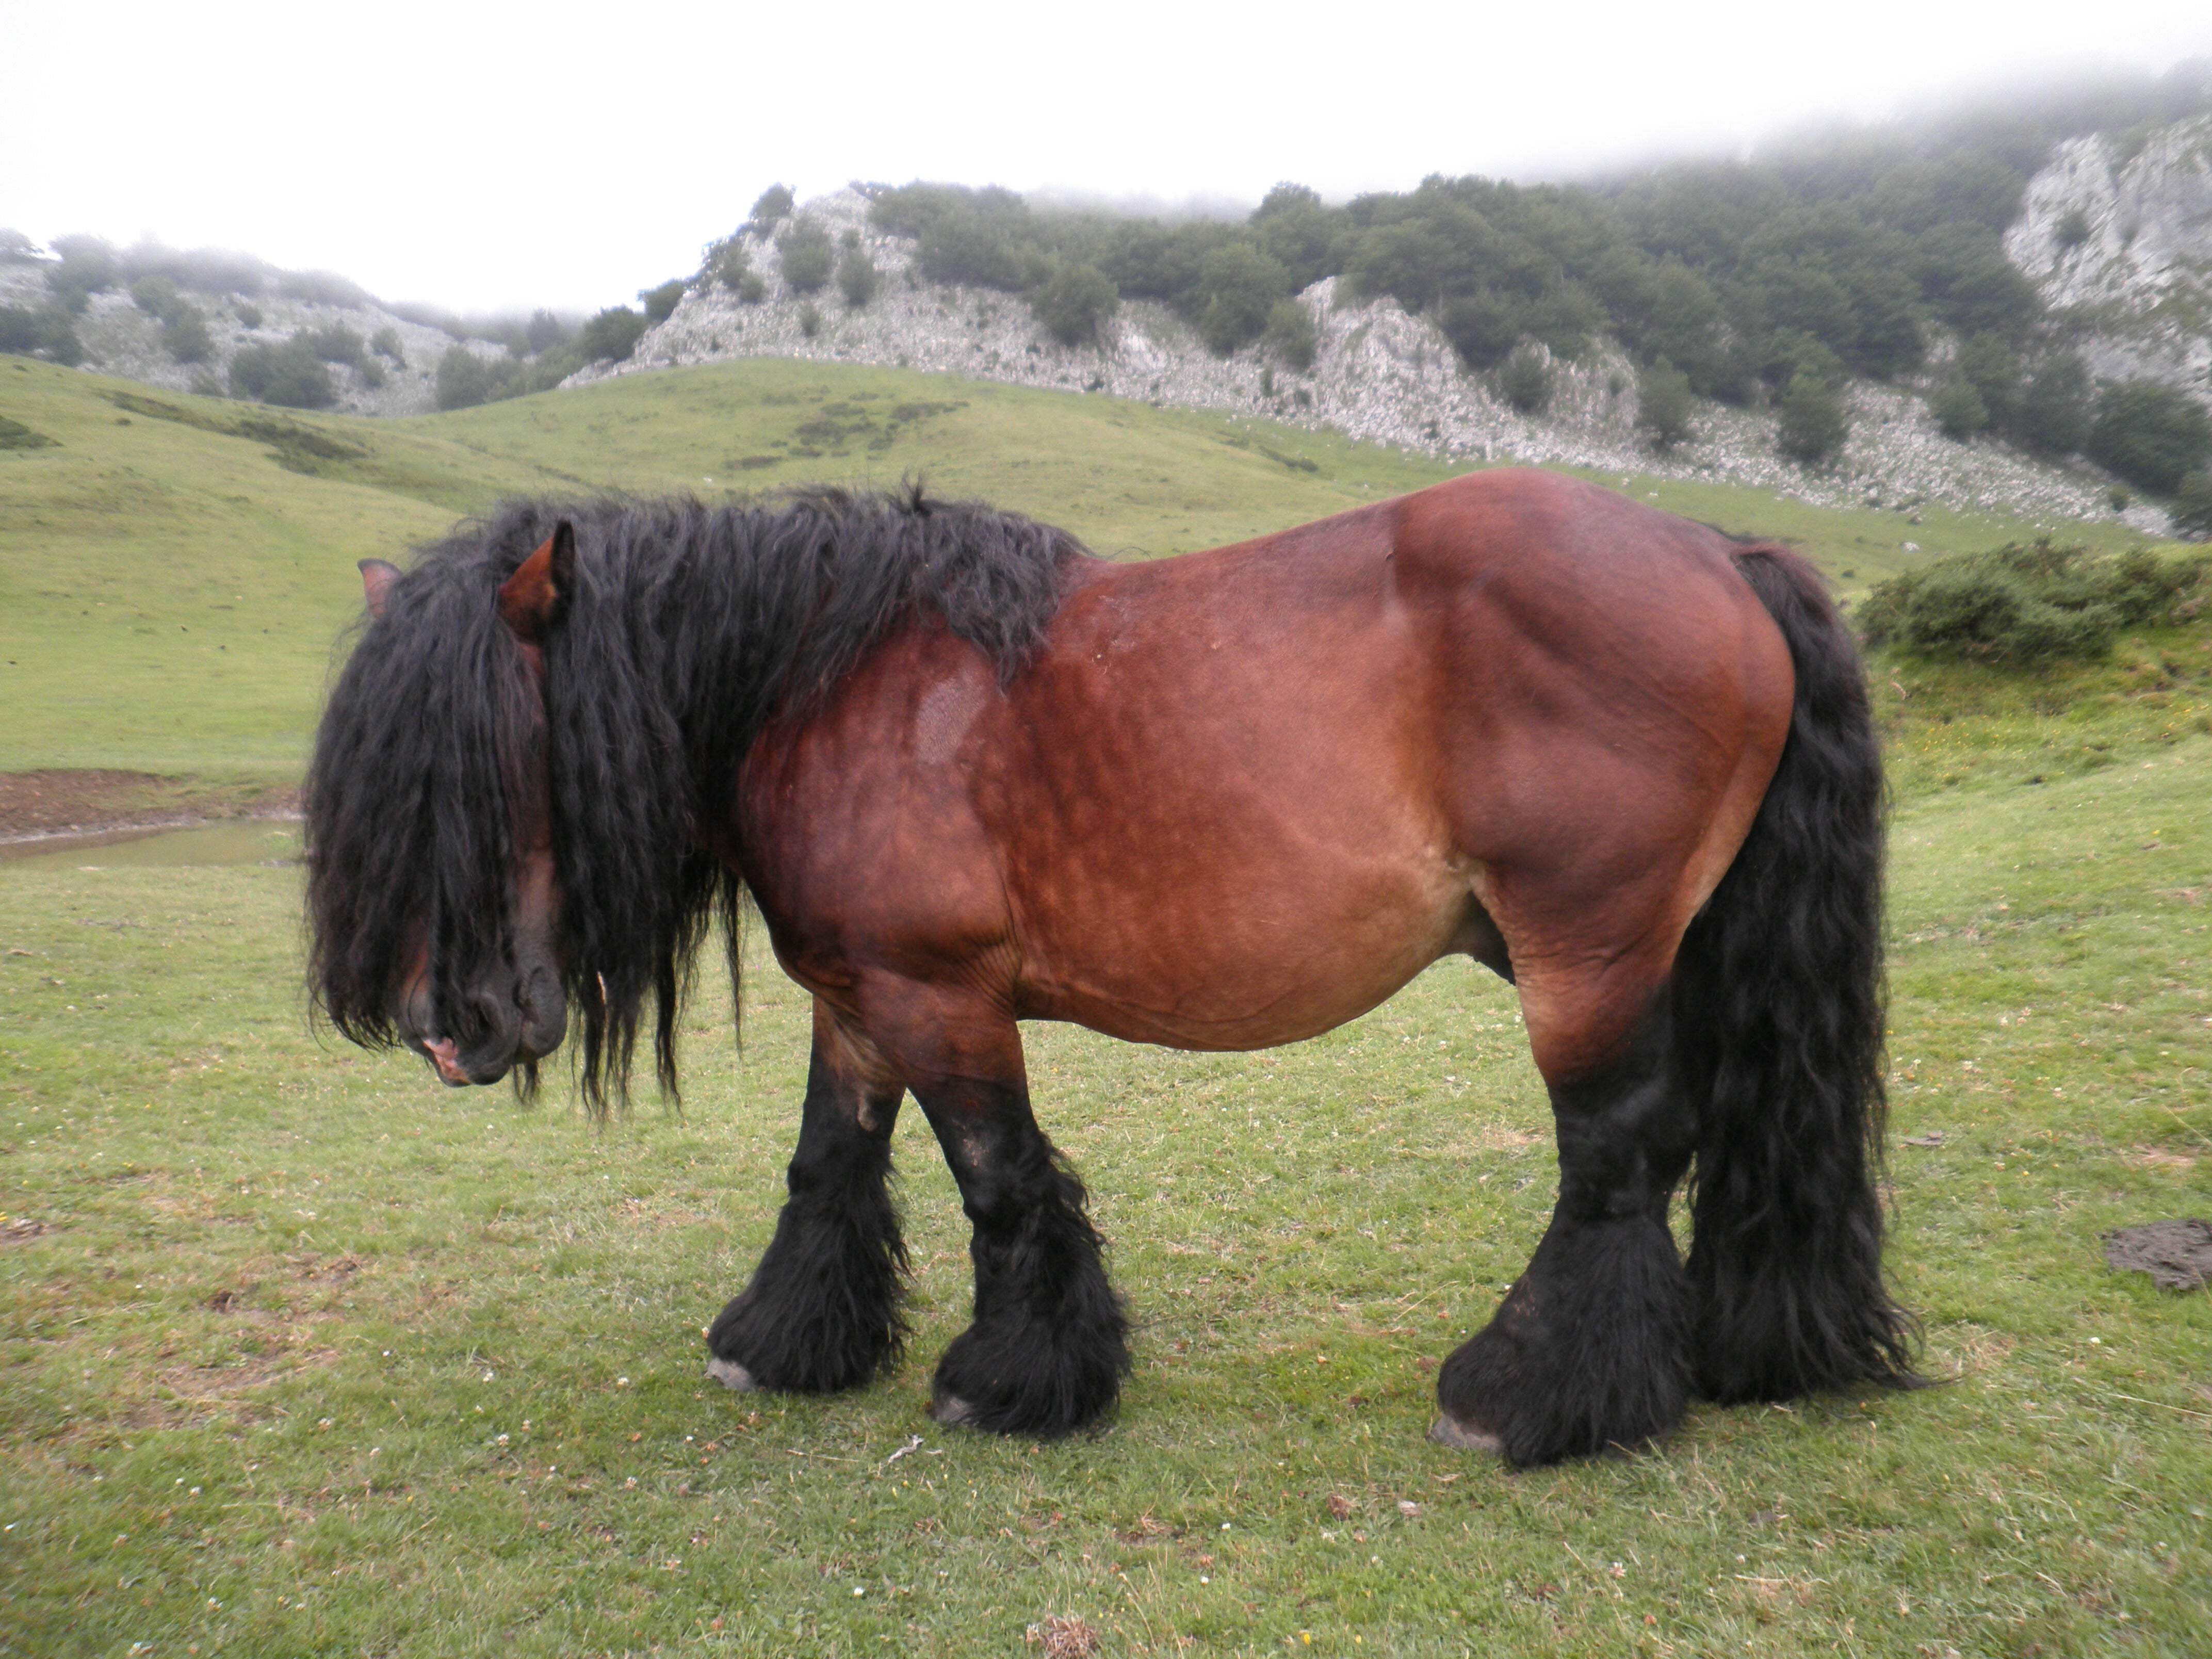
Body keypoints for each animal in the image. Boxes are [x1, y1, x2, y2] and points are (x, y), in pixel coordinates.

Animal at [305, 468, 1917, 1466]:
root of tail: (1714, 552)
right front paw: (785, 1340)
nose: (446, 1026)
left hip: (1586, 952)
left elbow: (1002, 1181)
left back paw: (1533, 1396)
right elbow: (828, 1166)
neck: (827, 684)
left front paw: (1014, 1379)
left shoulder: (940, 997)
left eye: (483, 763)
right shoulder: (858, 1001)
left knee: (1617, 1159)